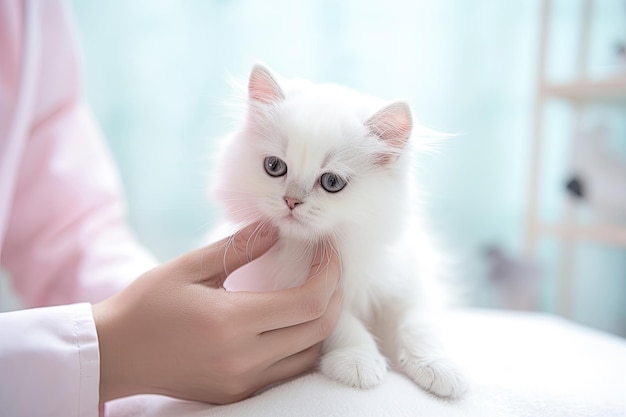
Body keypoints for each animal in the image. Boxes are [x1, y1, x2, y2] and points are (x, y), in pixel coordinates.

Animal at [212, 64, 466, 396]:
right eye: (274, 166)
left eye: (332, 182)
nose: (291, 201)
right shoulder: (299, 292)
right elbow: (344, 324)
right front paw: (359, 363)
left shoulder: (407, 284)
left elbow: (417, 325)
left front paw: (438, 367)